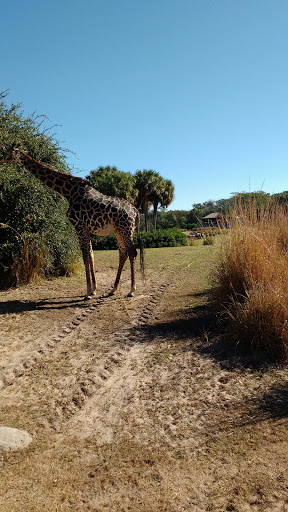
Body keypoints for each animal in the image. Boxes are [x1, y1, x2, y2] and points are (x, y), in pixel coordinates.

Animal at [0, 148, 143, 298]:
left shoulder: (78, 225)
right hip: (119, 230)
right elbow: (91, 255)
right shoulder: (85, 228)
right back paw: (113, 289)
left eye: (7, 152)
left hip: (125, 230)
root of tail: (135, 211)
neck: (68, 192)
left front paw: (88, 292)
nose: (0, 159)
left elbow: (85, 257)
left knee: (132, 252)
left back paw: (132, 290)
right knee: (123, 253)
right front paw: (94, 289)